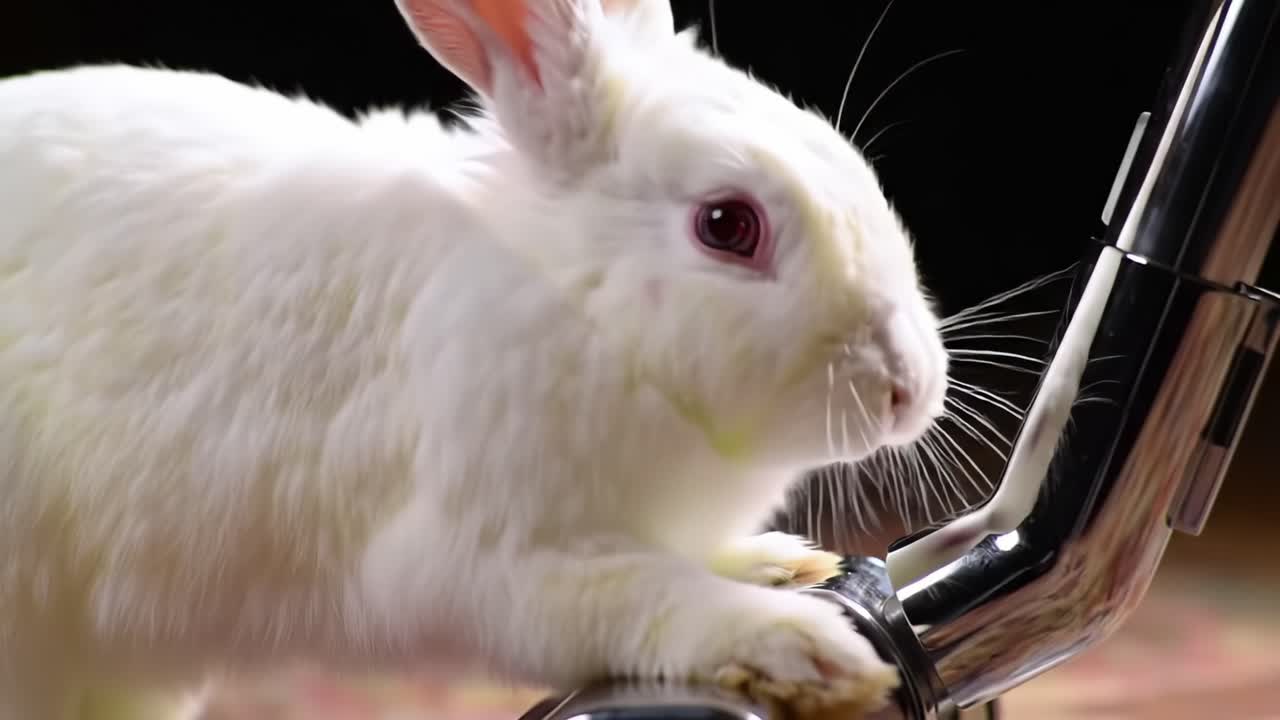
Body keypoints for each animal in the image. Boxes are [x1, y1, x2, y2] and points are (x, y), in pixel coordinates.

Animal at [0, 0, 950, 718]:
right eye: (727, 225)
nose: (910, 390)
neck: (575, 305)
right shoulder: (493, 564)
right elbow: (651, 602)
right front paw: (806, 650)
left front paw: (784, 565)